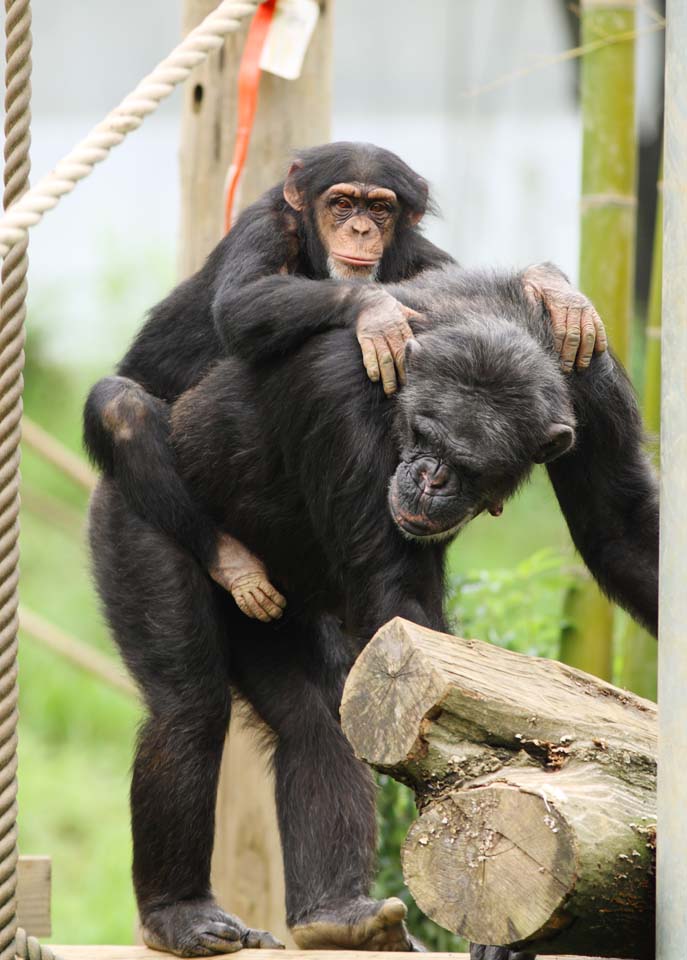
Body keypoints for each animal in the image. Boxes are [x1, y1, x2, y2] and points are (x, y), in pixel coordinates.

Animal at [84, 141, 608, 624]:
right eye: (341, 203)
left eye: (379, 208)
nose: (360, 229)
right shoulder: (263, 225)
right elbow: (240, 303)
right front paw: (376, 312)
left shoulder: (422, 256)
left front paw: (551, 287)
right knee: (121, 406)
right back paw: (234, 565)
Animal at [88, 258, 660, 956]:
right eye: (424, 434)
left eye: (469, 462)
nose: (429, 477)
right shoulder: (336, 392)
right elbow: (400, 608)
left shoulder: (593, 377)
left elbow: (620, 529)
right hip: (138, 519)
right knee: (188, 707)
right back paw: (181, 912)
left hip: (273, 614)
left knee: (315, 718)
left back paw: (339, 914)